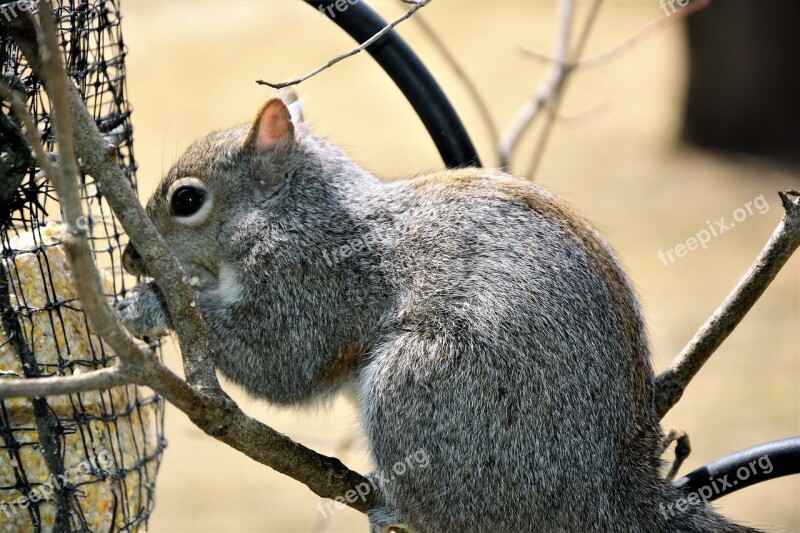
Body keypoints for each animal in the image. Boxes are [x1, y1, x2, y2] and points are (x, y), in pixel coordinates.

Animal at [117, 92, 756, 532]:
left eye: (187, 200)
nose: (128, 257)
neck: (293, 211)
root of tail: (608, 494)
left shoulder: (317, 282)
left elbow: (282, 361)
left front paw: (152, 304)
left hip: (422, 386)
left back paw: (395, 507)